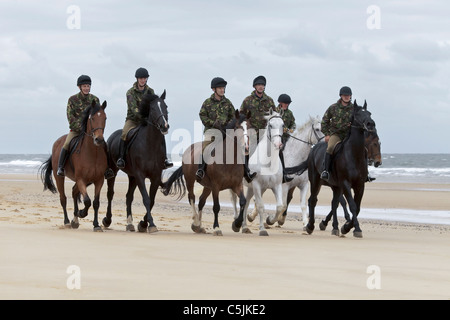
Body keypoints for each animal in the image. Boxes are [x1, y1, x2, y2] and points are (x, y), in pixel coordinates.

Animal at [39, 99, 108, 230]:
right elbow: (87, 201)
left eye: (105, 118)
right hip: (59, 177)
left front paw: (96, 225)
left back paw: (75, 220)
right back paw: (67, 221)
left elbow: (95, 203)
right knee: (63, 198)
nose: (99, 139)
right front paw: (82, 213)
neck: (92, 153)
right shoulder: (81, 179)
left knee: (74, 192)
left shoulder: (99, 180)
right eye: (92, 118)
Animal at [103, 91, 170, 234]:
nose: (165, 126)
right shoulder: (140, 175)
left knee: (129, 197)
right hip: (114, 171)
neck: (150, 144)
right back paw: (107, 220)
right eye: (153, 108)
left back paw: (129, 223)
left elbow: (152, 200)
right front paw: (150, 224)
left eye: (165, 106)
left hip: (132, 176)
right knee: (110, 194)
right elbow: (146, 199)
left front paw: (143, 224)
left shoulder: (155, 177)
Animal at [300, 100, 378, 238]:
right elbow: (352, 205)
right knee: (312, 200)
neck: (353, 154)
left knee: (334, 203)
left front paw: (346, 227)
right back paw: (310, 226)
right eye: (358, 114)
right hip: (316, 181)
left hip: (336, 186)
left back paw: (334, 227)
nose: (371, 124)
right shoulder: (346, 183)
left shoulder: (359, 185)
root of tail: (314, 148)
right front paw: (356, 229)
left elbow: (357, 207)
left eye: (369, 113)